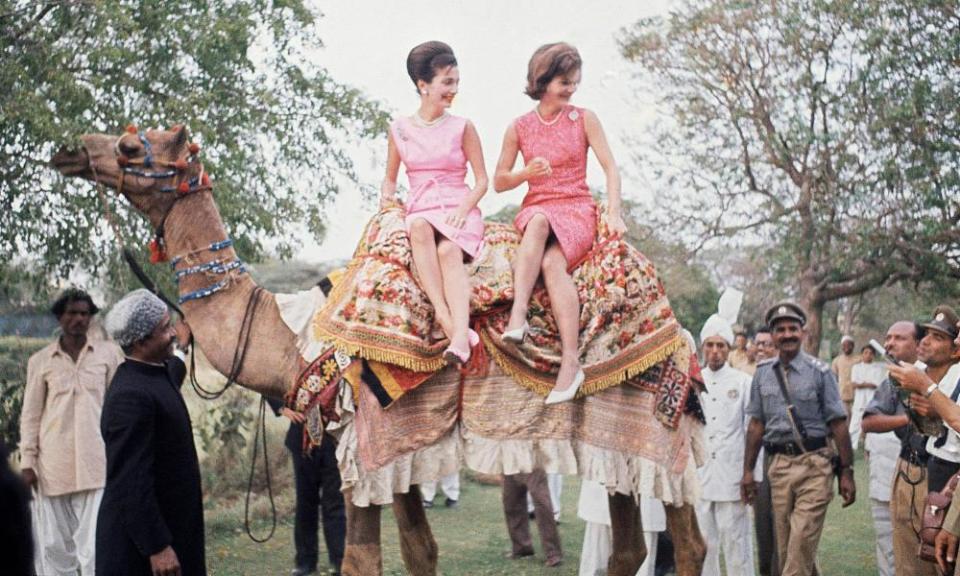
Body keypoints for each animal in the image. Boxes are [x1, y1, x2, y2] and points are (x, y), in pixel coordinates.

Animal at [52, 124, 708, 572]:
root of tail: (679, 331)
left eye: (131, 147)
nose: (71, 148)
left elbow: (362, 558)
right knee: (628, 546)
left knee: (690, 543)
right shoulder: (394, 445)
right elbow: (420, 551)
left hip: (656, 431)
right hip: (613, 444)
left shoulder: (362, 441)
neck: (294, 335)